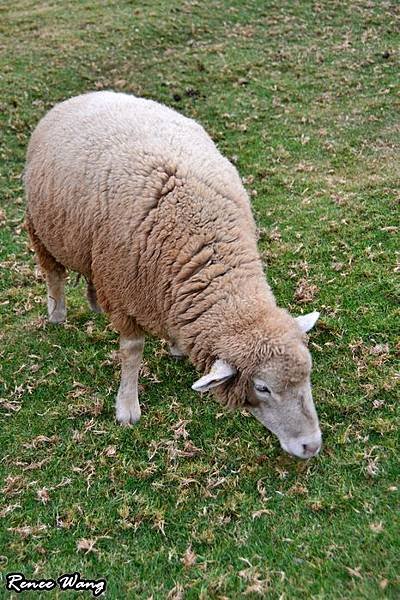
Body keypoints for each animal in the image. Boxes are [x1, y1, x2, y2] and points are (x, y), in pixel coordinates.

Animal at [24, 91, 322, 460]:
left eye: (308, 372)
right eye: (263, 388)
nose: (312, 445)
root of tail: (89, 94)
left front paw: (177, 346)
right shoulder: (123, 292)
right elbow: (132, 352)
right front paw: (127, 407)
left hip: (90, 246)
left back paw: (93, 303)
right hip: (42, 229)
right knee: (54, 274)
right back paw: (57, 314)